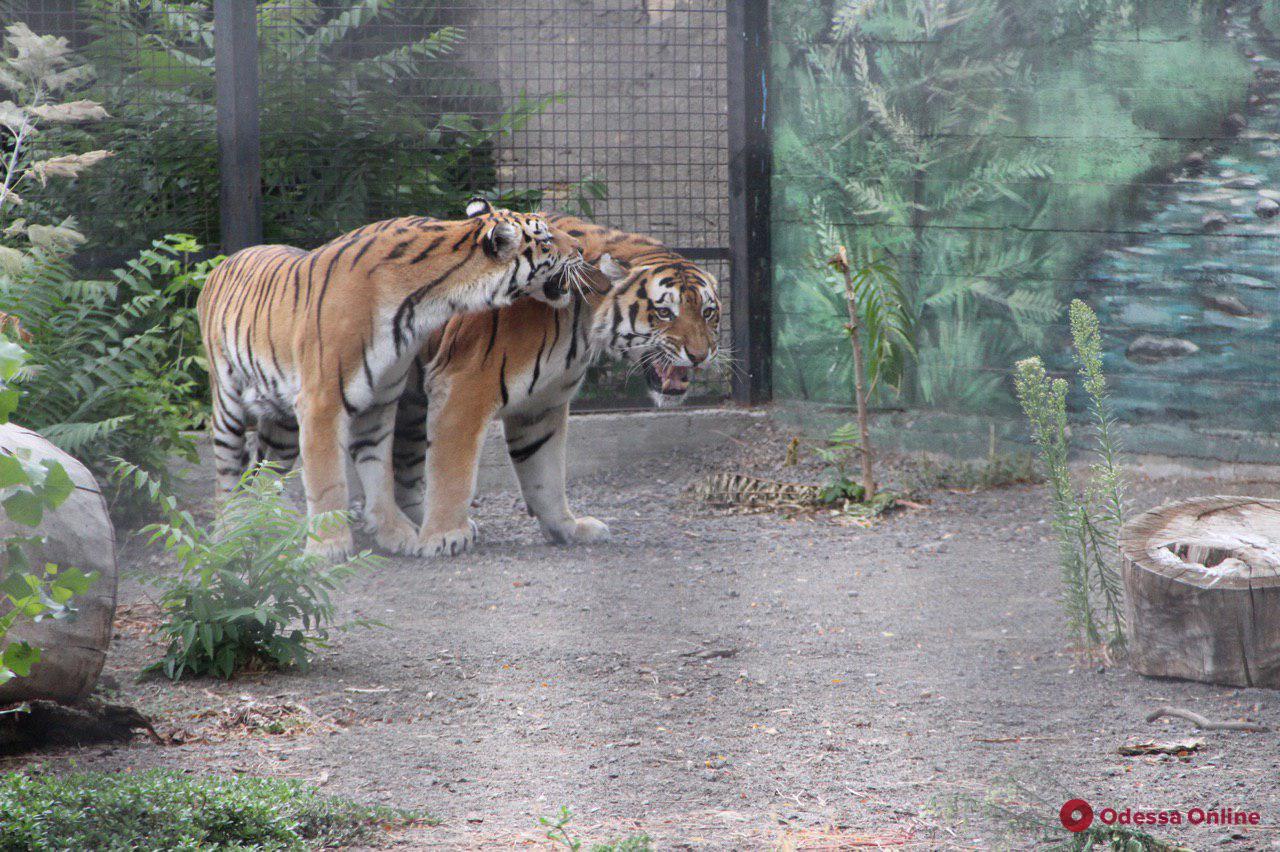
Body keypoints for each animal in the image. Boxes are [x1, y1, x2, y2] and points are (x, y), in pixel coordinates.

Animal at [195, 199, 599, 557]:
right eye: (547, 239)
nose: (582, 249)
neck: (429, 301)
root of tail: (220, 264)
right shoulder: (321, 402)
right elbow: (328, 480)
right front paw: (328, 549)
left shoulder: (379, 399)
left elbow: (379, 473)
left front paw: (395, 533)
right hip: (228, 405)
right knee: (228, 471)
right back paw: (228, 533)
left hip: (281, 423)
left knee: (263, 471)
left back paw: (266, 526)